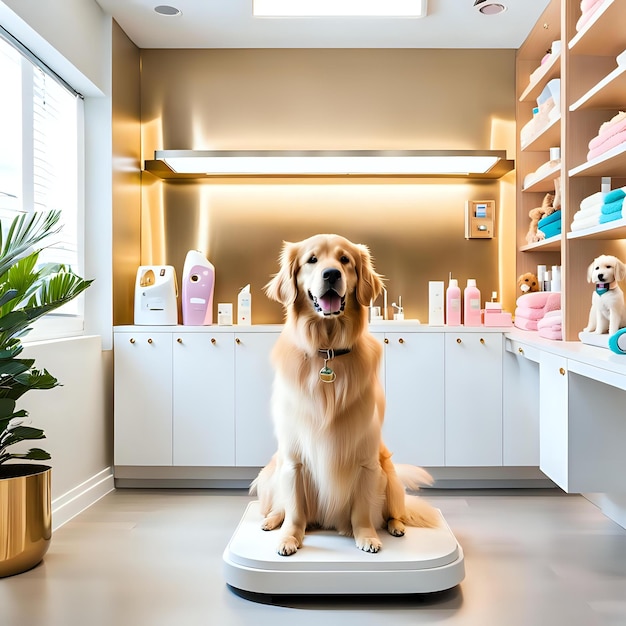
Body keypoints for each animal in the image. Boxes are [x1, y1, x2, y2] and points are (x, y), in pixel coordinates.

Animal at [251, 235, 436, 556]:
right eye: (312, 260)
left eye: (345, 260)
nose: (331, 274)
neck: (328, 350)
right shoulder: (293, 458)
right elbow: (295, 509)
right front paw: (289, 537)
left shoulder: (365, 457)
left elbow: (362, 509)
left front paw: (366, 536)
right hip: (274, 468)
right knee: (281, 506)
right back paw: (272, 520)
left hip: (389, 475)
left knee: (394, 510)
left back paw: (395, 526)